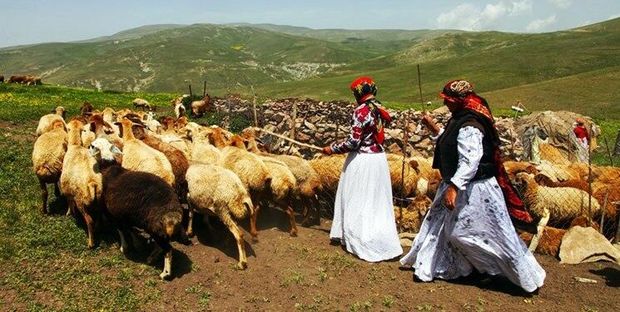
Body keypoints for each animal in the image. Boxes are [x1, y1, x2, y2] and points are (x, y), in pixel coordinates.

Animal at [58, 119, 102, 249]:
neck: (76, 145)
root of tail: (92, 183)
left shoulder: (67, 190)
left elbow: (69, 202)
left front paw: (69, 213)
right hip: (99, 200)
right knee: (98, 217)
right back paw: (97, 230)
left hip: (81, 201)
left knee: (90, 221)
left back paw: (91, 243)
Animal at [87, 138, 189, 280]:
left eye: (92, 146)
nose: (86, 147)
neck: (109, 169)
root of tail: (173, 212)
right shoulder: (127, 214)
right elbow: (130, 229)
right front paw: (137, 244)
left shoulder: (114, 214)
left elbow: (121, 230)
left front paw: (124, 247)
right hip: (157, 228)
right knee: (162, 246)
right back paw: (152, 257)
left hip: (155, 227)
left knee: (168, 250)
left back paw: (165, 273)